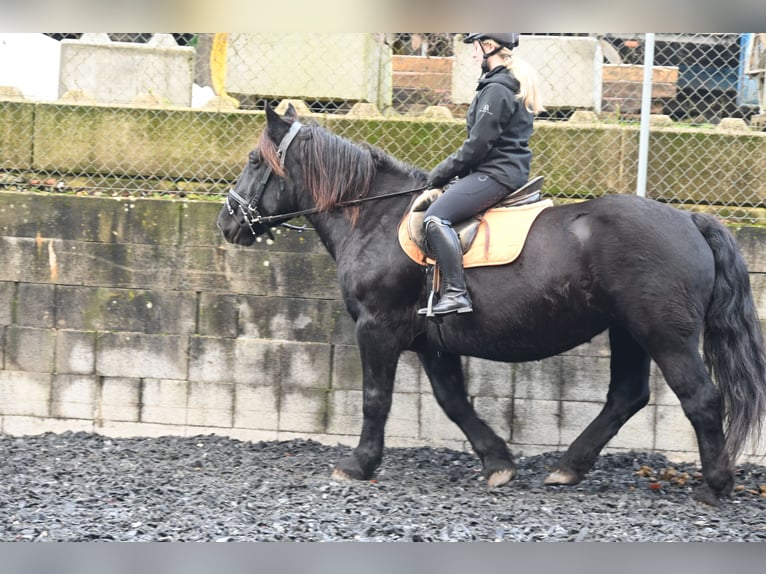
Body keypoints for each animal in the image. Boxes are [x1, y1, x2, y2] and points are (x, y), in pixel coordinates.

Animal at [216, 103, 766, 504]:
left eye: (254, 161)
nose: (226, 223)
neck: (374, 218)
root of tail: (689, 218)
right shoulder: (431, 342)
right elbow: (453, 401)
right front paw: (498, 463)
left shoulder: (377, 328)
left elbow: (376, 398)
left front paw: (357, 465)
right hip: (627, 330)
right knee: (626, 396)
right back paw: (568, 469)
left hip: (664, 333)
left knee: (701, 398)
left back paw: (716, 484)